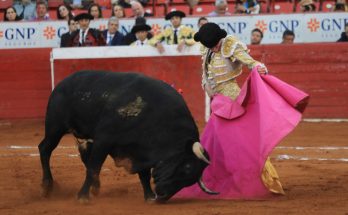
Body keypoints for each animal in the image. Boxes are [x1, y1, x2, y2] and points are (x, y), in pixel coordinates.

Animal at [38, 71, 218, 203]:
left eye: (190, 181)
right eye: (187, 166)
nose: (162, 196)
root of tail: (62, 83)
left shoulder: (140, 149)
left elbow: (144, 174)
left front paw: (149, 197)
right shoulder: (104, 140)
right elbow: (94, 167)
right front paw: (82, 197)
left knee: (84, 157)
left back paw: (95, 187)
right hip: (55, 127)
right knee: (45, 148)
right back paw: (47, 186)